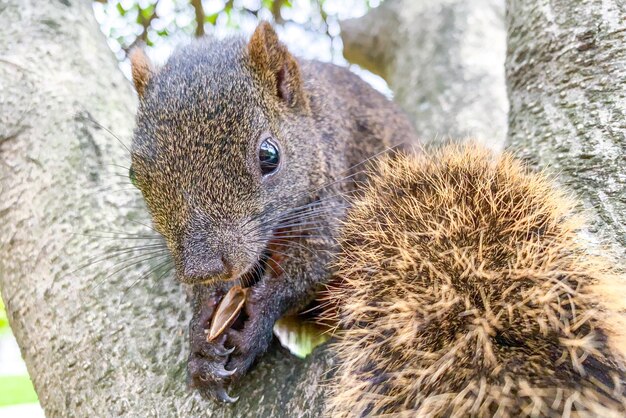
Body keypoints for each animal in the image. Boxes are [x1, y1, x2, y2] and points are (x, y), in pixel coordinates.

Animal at [128, 20, 414, 402]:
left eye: (270, 155)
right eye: (134, 175)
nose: (202, 268)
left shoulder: (328, 203)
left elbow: (310, 265)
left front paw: (257, 321)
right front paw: (202, 338)